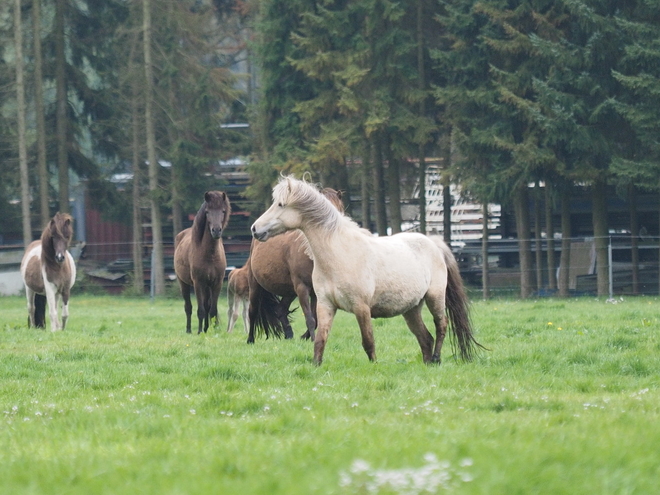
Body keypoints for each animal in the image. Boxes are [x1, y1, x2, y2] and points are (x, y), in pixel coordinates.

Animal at [174, 192, 231, 336]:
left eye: (223, 211)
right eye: (207, 212)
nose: (216, 231)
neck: (210, 255)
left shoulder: (217, 283)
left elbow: (212, 310)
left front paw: (214, 330)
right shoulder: (198, 283)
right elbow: (200, 310)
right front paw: (199, 331)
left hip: (207, 287)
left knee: (207, 305)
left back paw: (206, 328)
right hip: (184, 283)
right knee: (188, 307)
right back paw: (189, 330)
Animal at [245, 188, 342, 342]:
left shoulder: (316, 292)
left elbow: (316, 319)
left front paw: (306, 337)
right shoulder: (302, 287)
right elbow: (310, 318)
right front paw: (311, 340)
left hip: (289, 291)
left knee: (280, 310)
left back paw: (289, 335)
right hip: (255, 286)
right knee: (252, 311)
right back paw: (250, 340)